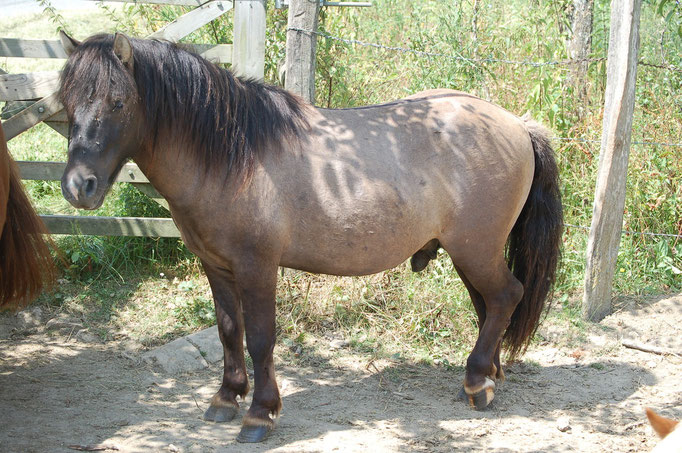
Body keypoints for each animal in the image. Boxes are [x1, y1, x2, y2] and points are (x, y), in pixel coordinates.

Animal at [57, 30, 556, 442]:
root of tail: (517, 124)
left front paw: (259, 413)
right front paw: (226, 397)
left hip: (475, 250)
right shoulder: (216, 266)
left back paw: (477, 381)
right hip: (470, 252)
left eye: (118, 103)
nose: (79, 186)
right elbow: (228, 330)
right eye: (67, 103)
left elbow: (260, 338)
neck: (233, 157)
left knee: (505, 296)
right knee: (489, 304)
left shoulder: (257, 267)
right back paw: (487, 376)